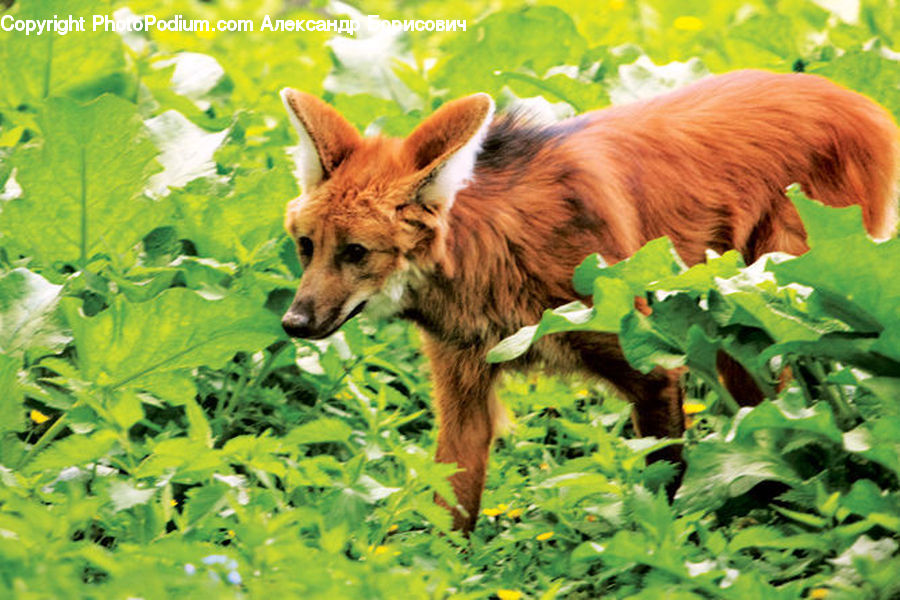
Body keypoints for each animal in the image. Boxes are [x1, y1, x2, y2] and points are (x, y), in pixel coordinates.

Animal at [278, 69, 899, 533]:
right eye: (307, 246)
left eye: (357, 252)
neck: (497, 256)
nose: (292, 322)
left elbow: (664, 487)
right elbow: (452, 502)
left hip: (768, 309)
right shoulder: (464, 379)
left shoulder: (651, 363)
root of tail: (860, 100)